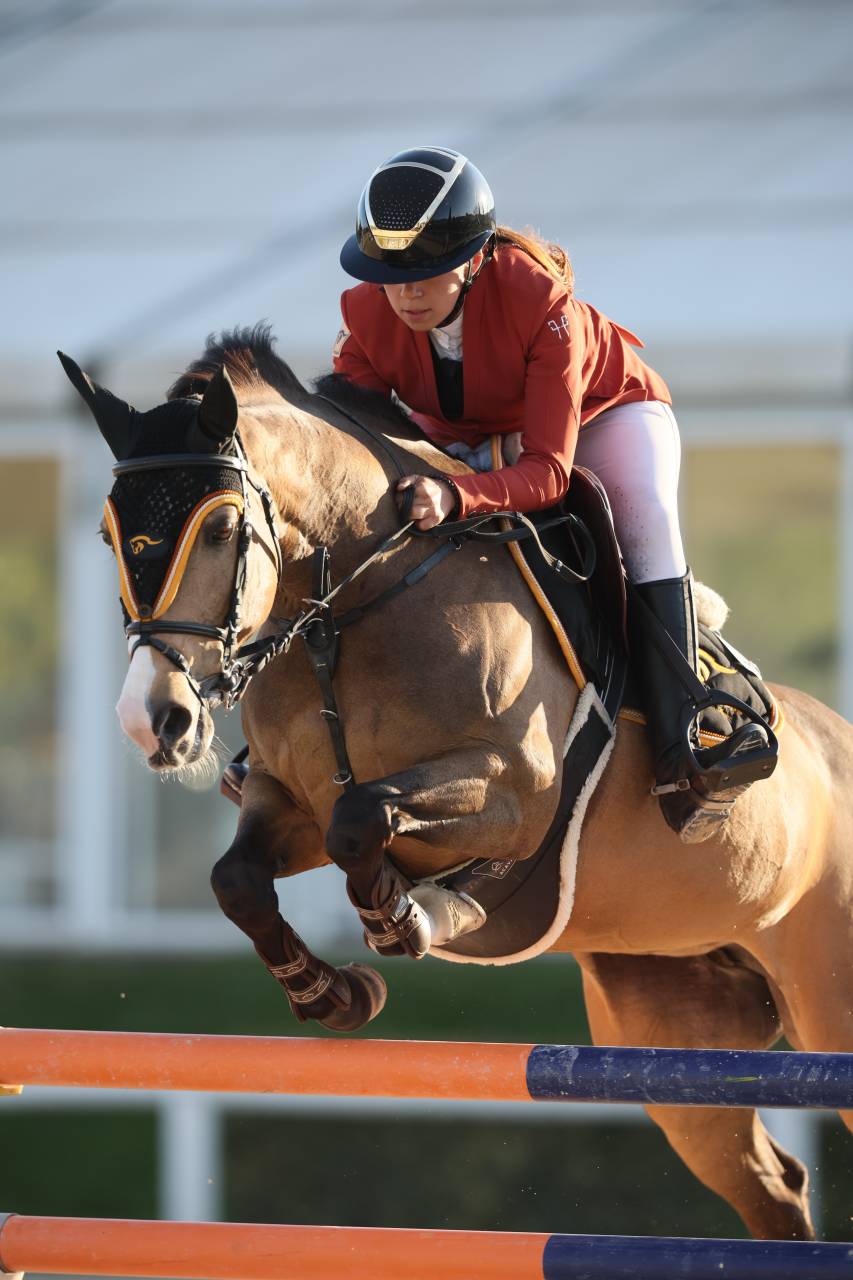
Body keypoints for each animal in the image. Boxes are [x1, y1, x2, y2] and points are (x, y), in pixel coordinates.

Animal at [59, 327, 852, 1243]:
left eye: (221, 527)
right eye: (107, 536)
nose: (152, 719)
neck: (349, 610)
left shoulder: (514, 794)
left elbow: (365, 821)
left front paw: (423, 914)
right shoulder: (287, 804)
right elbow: (241, 878)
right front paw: (335, 993)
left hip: (823, 999)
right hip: (674, 1025)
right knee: (770, 1187)